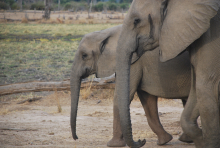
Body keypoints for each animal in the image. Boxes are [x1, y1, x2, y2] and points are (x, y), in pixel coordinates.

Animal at [115, 0, 220, 147]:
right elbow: (195, 90)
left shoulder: (212, 38)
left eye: (136, 21)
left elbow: (206, 88)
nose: (141, 140)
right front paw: (200, 138)